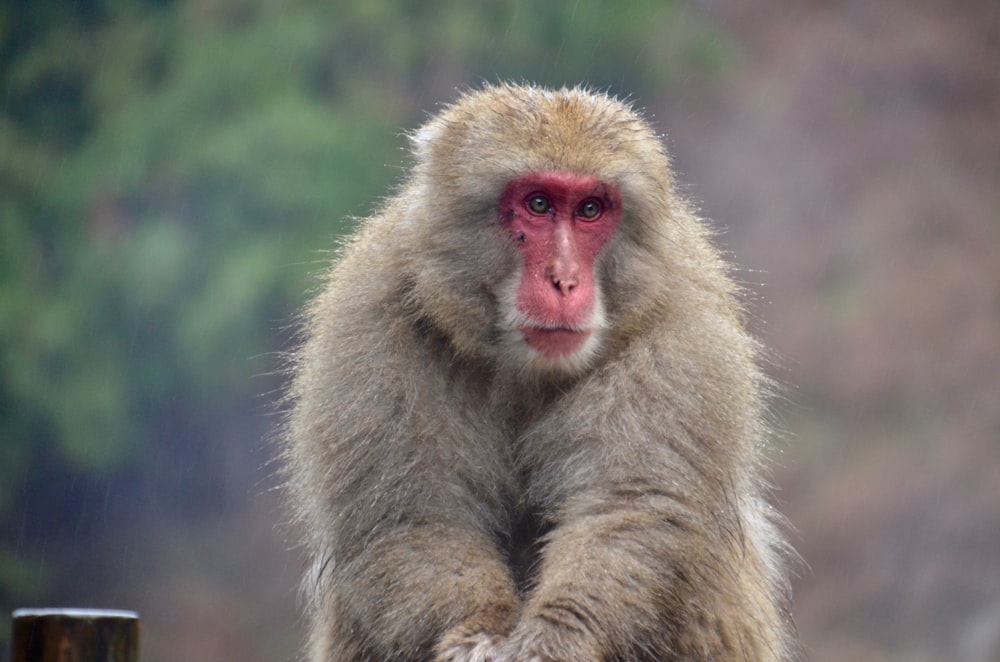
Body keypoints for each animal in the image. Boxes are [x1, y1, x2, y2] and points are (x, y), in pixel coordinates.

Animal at [284, 85, 796, 660]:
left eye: (590, 209)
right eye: (539, 204)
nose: (565, 281)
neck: (523, 369)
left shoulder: (679, 333)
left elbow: (632, 508)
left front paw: (558, 633)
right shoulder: (370, 321)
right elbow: (412, 520)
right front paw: (478, 628)